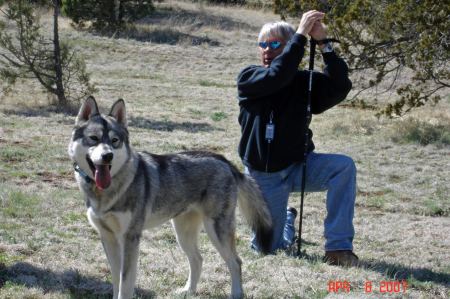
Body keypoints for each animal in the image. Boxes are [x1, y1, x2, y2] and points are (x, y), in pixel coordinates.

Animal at [67, 97, 270, 298]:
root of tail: (225, 161)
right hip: (183, 234)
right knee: (198, 259)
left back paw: (235, 293)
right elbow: (116, 279)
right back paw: (188, 291)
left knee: (236, 262)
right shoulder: (107, 237)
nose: (107, 155)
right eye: (94, 138)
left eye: (114, 141)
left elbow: (125, 284)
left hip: (216, 231)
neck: (104, 191)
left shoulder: (130, 238)